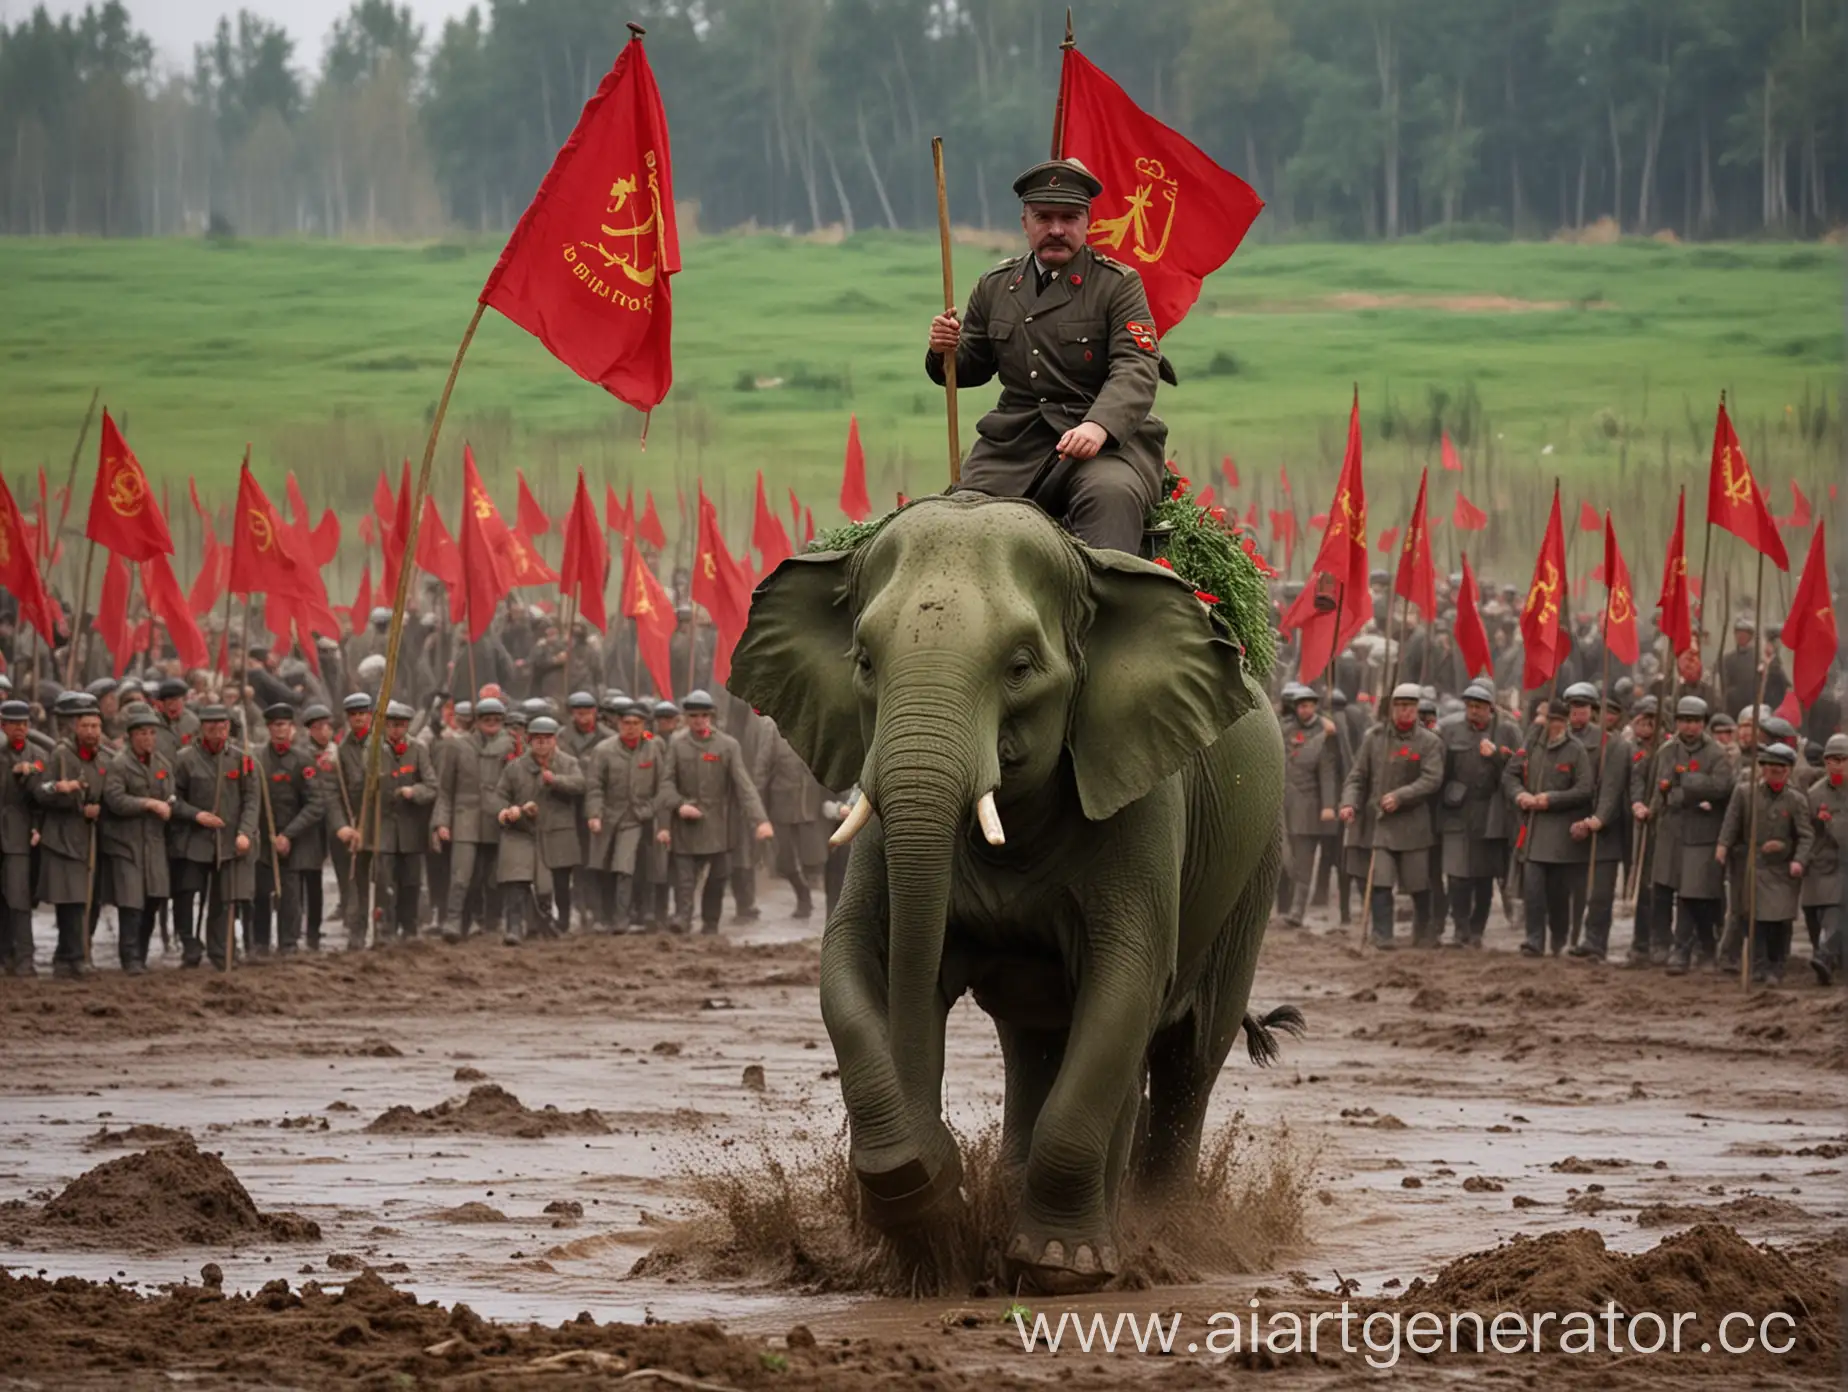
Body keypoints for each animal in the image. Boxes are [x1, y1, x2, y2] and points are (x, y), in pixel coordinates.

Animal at [728, 491, 1293, 1294]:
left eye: (1021, 667)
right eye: (864, 663)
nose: (940, 1171)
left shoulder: (1142, 800)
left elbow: (1125, 984)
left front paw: (1060, 1266)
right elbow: (851, 966)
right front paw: (923, 1205)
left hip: (1254, 868)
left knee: (1187, 1056)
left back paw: (1163, 1237)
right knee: (1036, 1041)